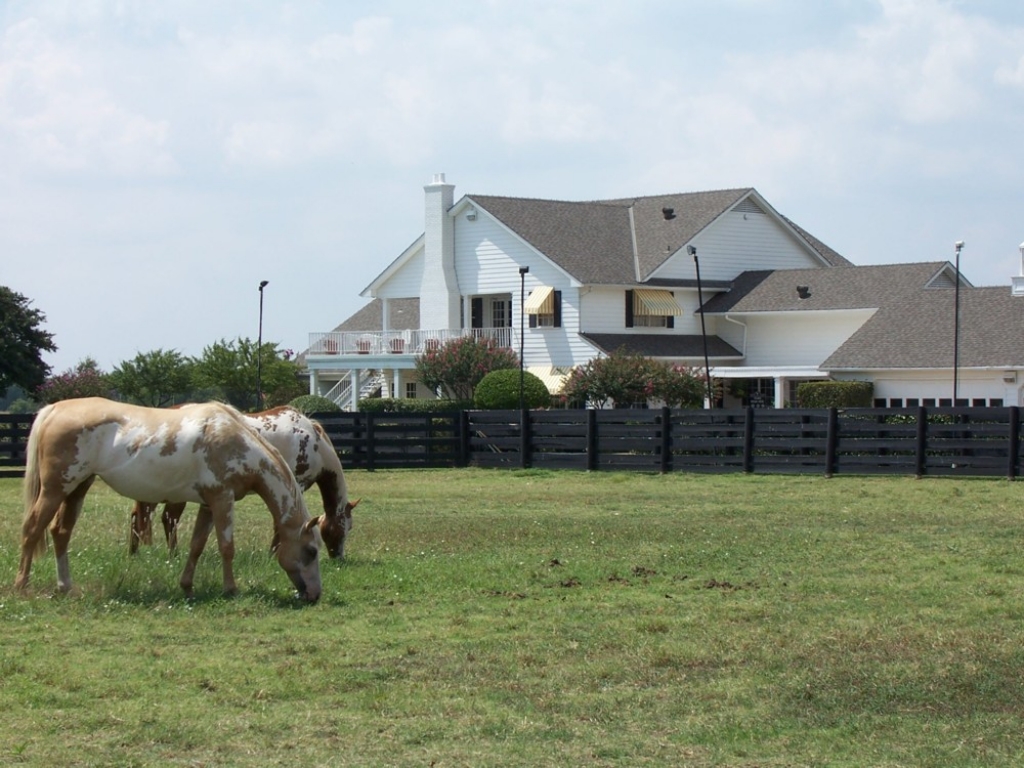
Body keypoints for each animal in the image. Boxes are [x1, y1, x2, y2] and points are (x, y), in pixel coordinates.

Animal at [19, 399, 323, 606]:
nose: (314, 595)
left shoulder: (208, 504)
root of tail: (53, 410)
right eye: (311, 551)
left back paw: (66, 587)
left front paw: (187, 587)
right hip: (55, 490)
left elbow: (197, 546)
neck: (235, 439)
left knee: (60, 532)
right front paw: (231, 589)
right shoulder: (222, 499)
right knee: (32, 530)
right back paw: (22, 586)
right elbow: (226, 547)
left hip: (77, 488)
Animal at [131, 405, 360, 561]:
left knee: (140, 517)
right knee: (168, 519)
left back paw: (135, 553)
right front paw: (274, 553)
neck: (314, 444)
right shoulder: (296, 485)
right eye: (346, 527)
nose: (338, 557)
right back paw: (174, 554)